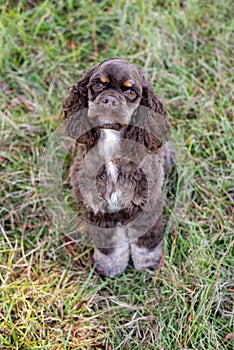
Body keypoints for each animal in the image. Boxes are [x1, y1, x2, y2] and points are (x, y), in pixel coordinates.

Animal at [62, 57, 174, 276]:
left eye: (130, 92)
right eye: (98, 85)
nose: (110, 100)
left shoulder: (146, 205)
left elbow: (147, 241)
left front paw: (148, 265)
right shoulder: (98, 208)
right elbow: (109, 245)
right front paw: (110, 267)